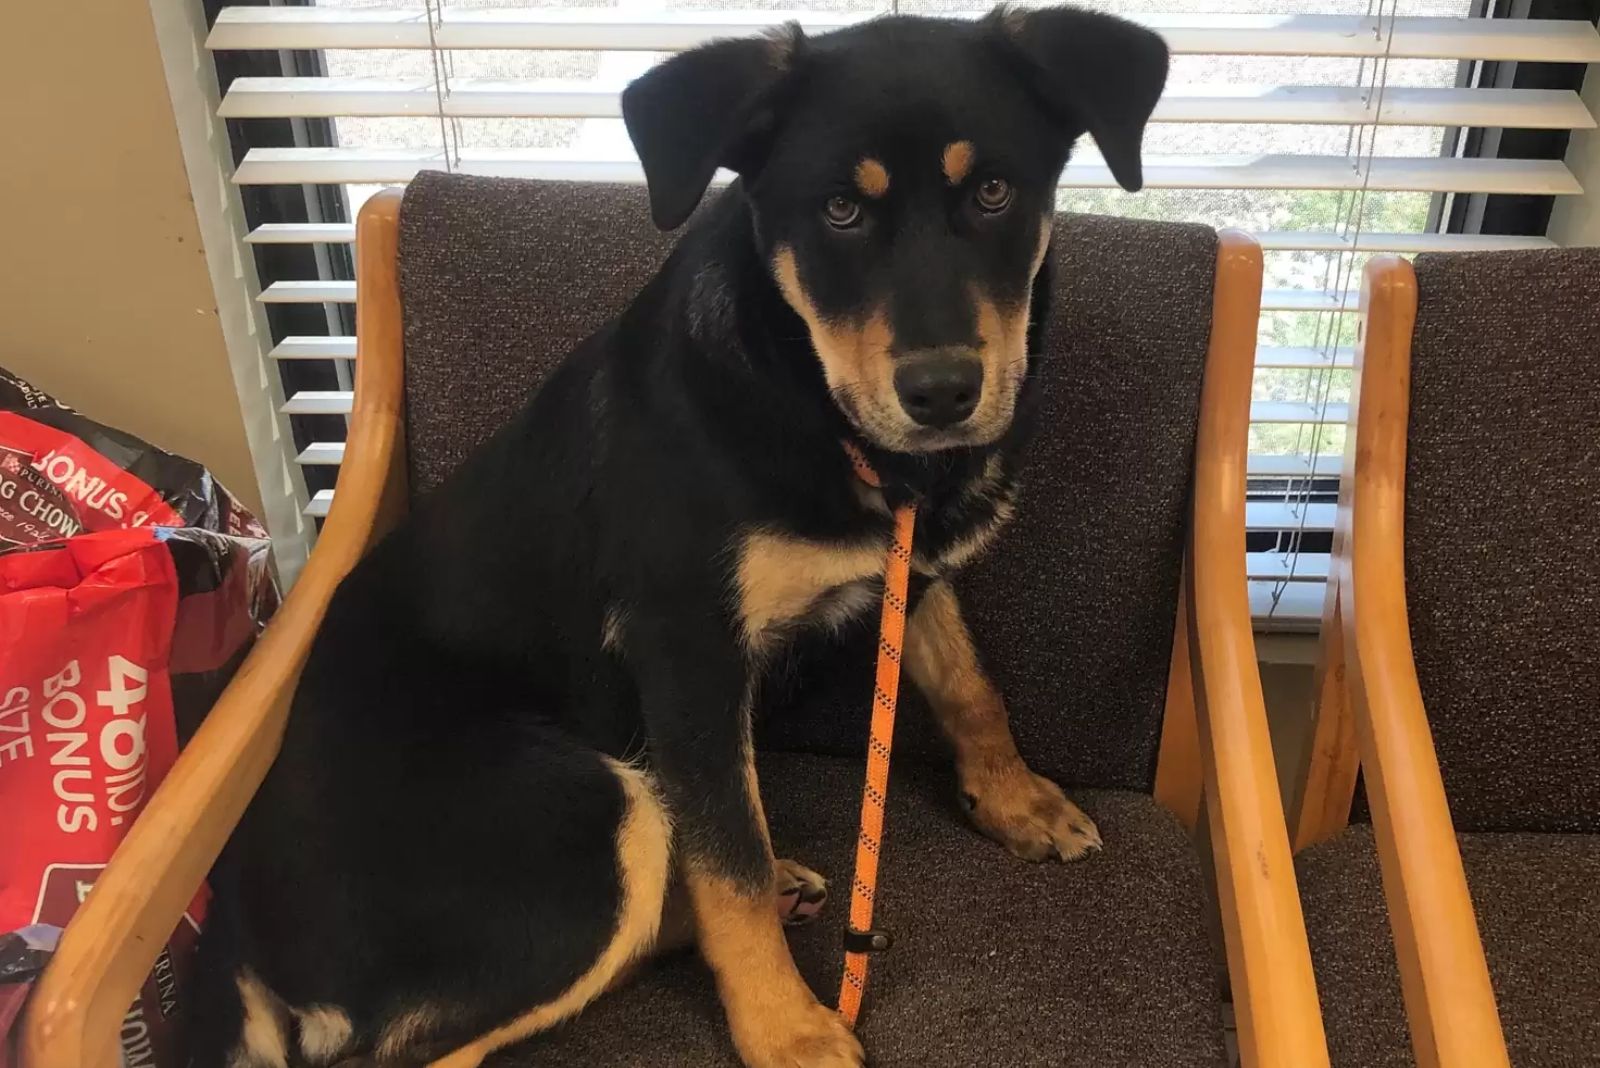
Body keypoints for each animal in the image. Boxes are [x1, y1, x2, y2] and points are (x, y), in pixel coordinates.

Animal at [200, 10, 1171, 1068]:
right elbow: (729, 858)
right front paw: (787, 1029)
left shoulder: (908, 565)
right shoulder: (689, 652)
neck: (808, 398)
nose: (944, 393)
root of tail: (242, 944)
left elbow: (969, 684)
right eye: (839, 209)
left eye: (994, 191)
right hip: (583, 818)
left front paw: (1018, 801)